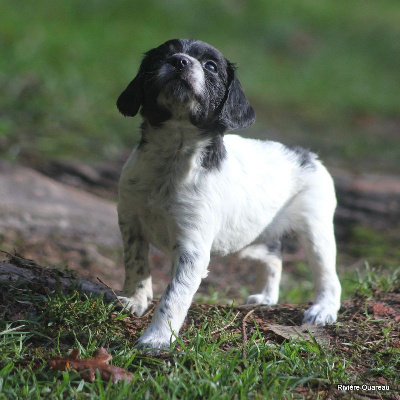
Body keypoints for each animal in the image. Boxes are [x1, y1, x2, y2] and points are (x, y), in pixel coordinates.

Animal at [115, 38, 340, 350]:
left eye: (211, 66)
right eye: (161, 57)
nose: (179, 61)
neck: (171, 156)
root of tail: (308, 156)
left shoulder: (192, 249)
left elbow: (173, 296)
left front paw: (157, 338)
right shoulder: (130, 221)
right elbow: (135, 264)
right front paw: (135, 300)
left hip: (316, 230)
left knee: (328, 275)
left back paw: (323, 310)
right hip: (249, 238)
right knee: (274, 255)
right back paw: (266, 296)